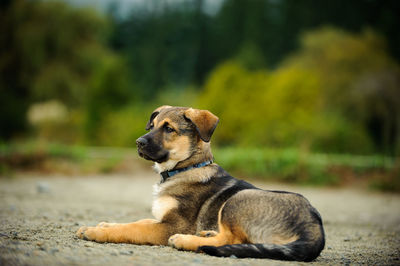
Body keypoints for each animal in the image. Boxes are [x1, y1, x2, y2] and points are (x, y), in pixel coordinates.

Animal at [77, 105, 324, 260]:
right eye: (153, 125)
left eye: (169, 129)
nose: (138, 142)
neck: (185, 168)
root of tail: (315, 228)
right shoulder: (161, 218)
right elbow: (137, 221)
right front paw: (104, 224)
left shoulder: (172, 225)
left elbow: (135, 228)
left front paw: (95, 232)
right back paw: (205, 234)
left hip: (237, 200)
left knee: (232, 239)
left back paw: (186, 241)